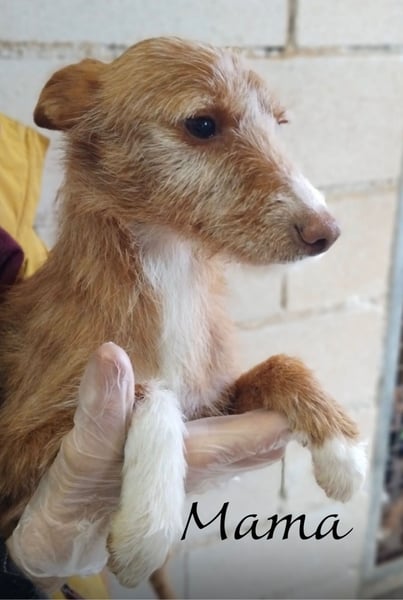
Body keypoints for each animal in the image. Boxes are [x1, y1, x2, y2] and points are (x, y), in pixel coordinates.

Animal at [0, 37, 366, 592]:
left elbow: (281, 363)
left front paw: (341, 446)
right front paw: (149, 522)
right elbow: (146, 389)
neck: (174, 272)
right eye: (202, 124)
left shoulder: (213, 400)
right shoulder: (12, 445)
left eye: (279, 123)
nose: (327, 232)